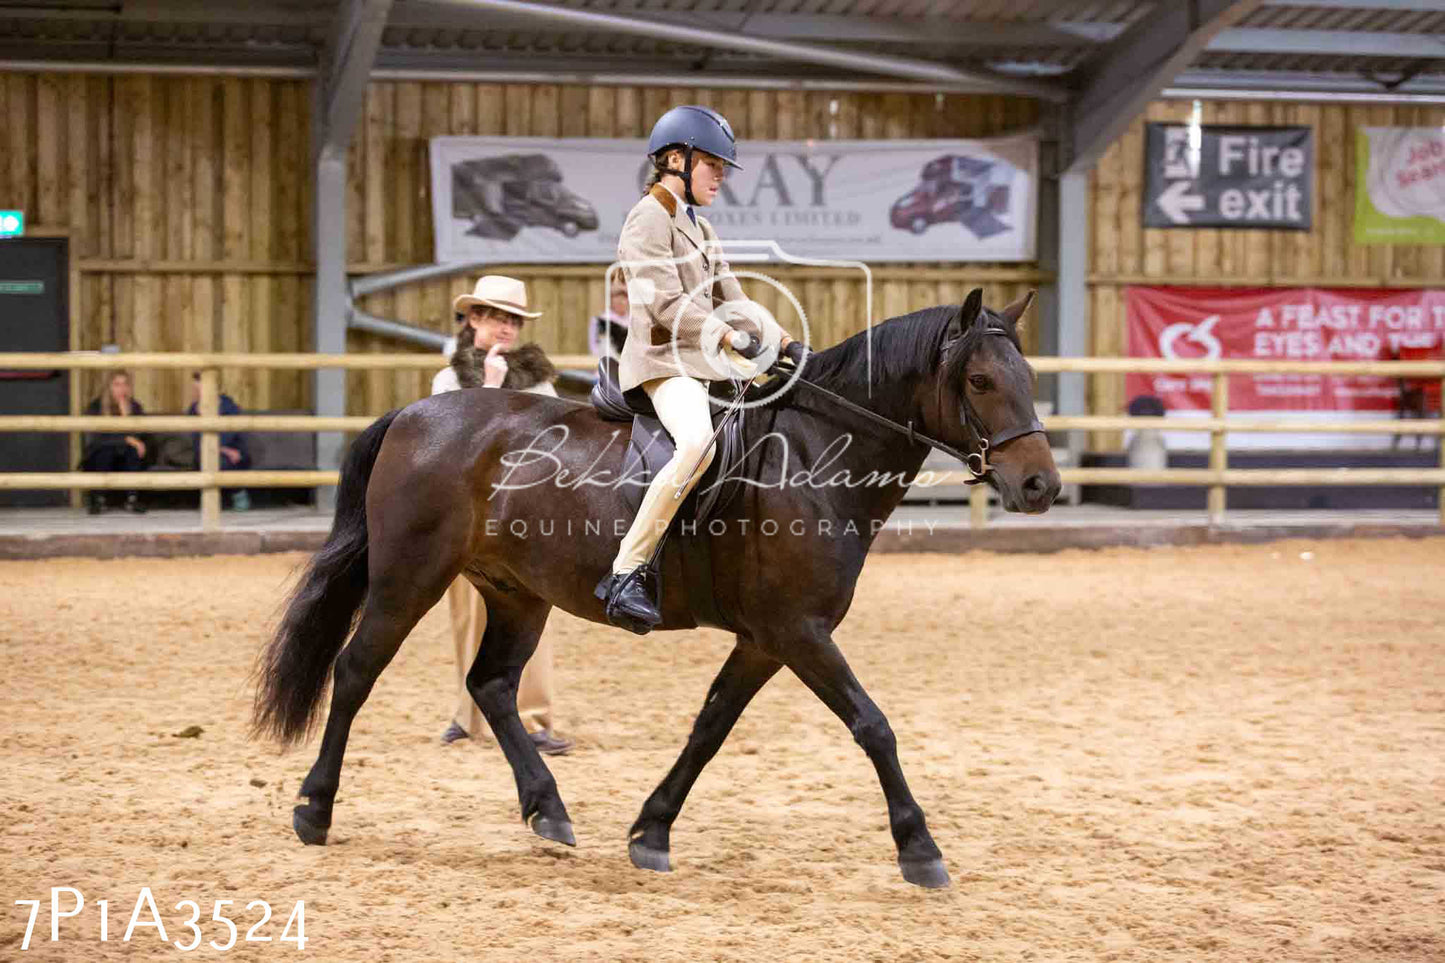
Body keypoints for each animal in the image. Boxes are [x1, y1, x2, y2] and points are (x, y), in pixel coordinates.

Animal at [251, 289, 1063, 890]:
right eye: (981, 382)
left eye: (1027, 380)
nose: (1040, 486)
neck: (813, 457)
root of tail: (415, 413)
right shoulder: (798, 632)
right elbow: (874, 725)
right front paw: (920, 848)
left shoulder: (766, 640)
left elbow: (710, 726)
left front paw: (651, 830)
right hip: (409, 577)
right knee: (357, 669)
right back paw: (314, 809)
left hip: (518, 593)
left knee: (492, 685)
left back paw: (547, 809)